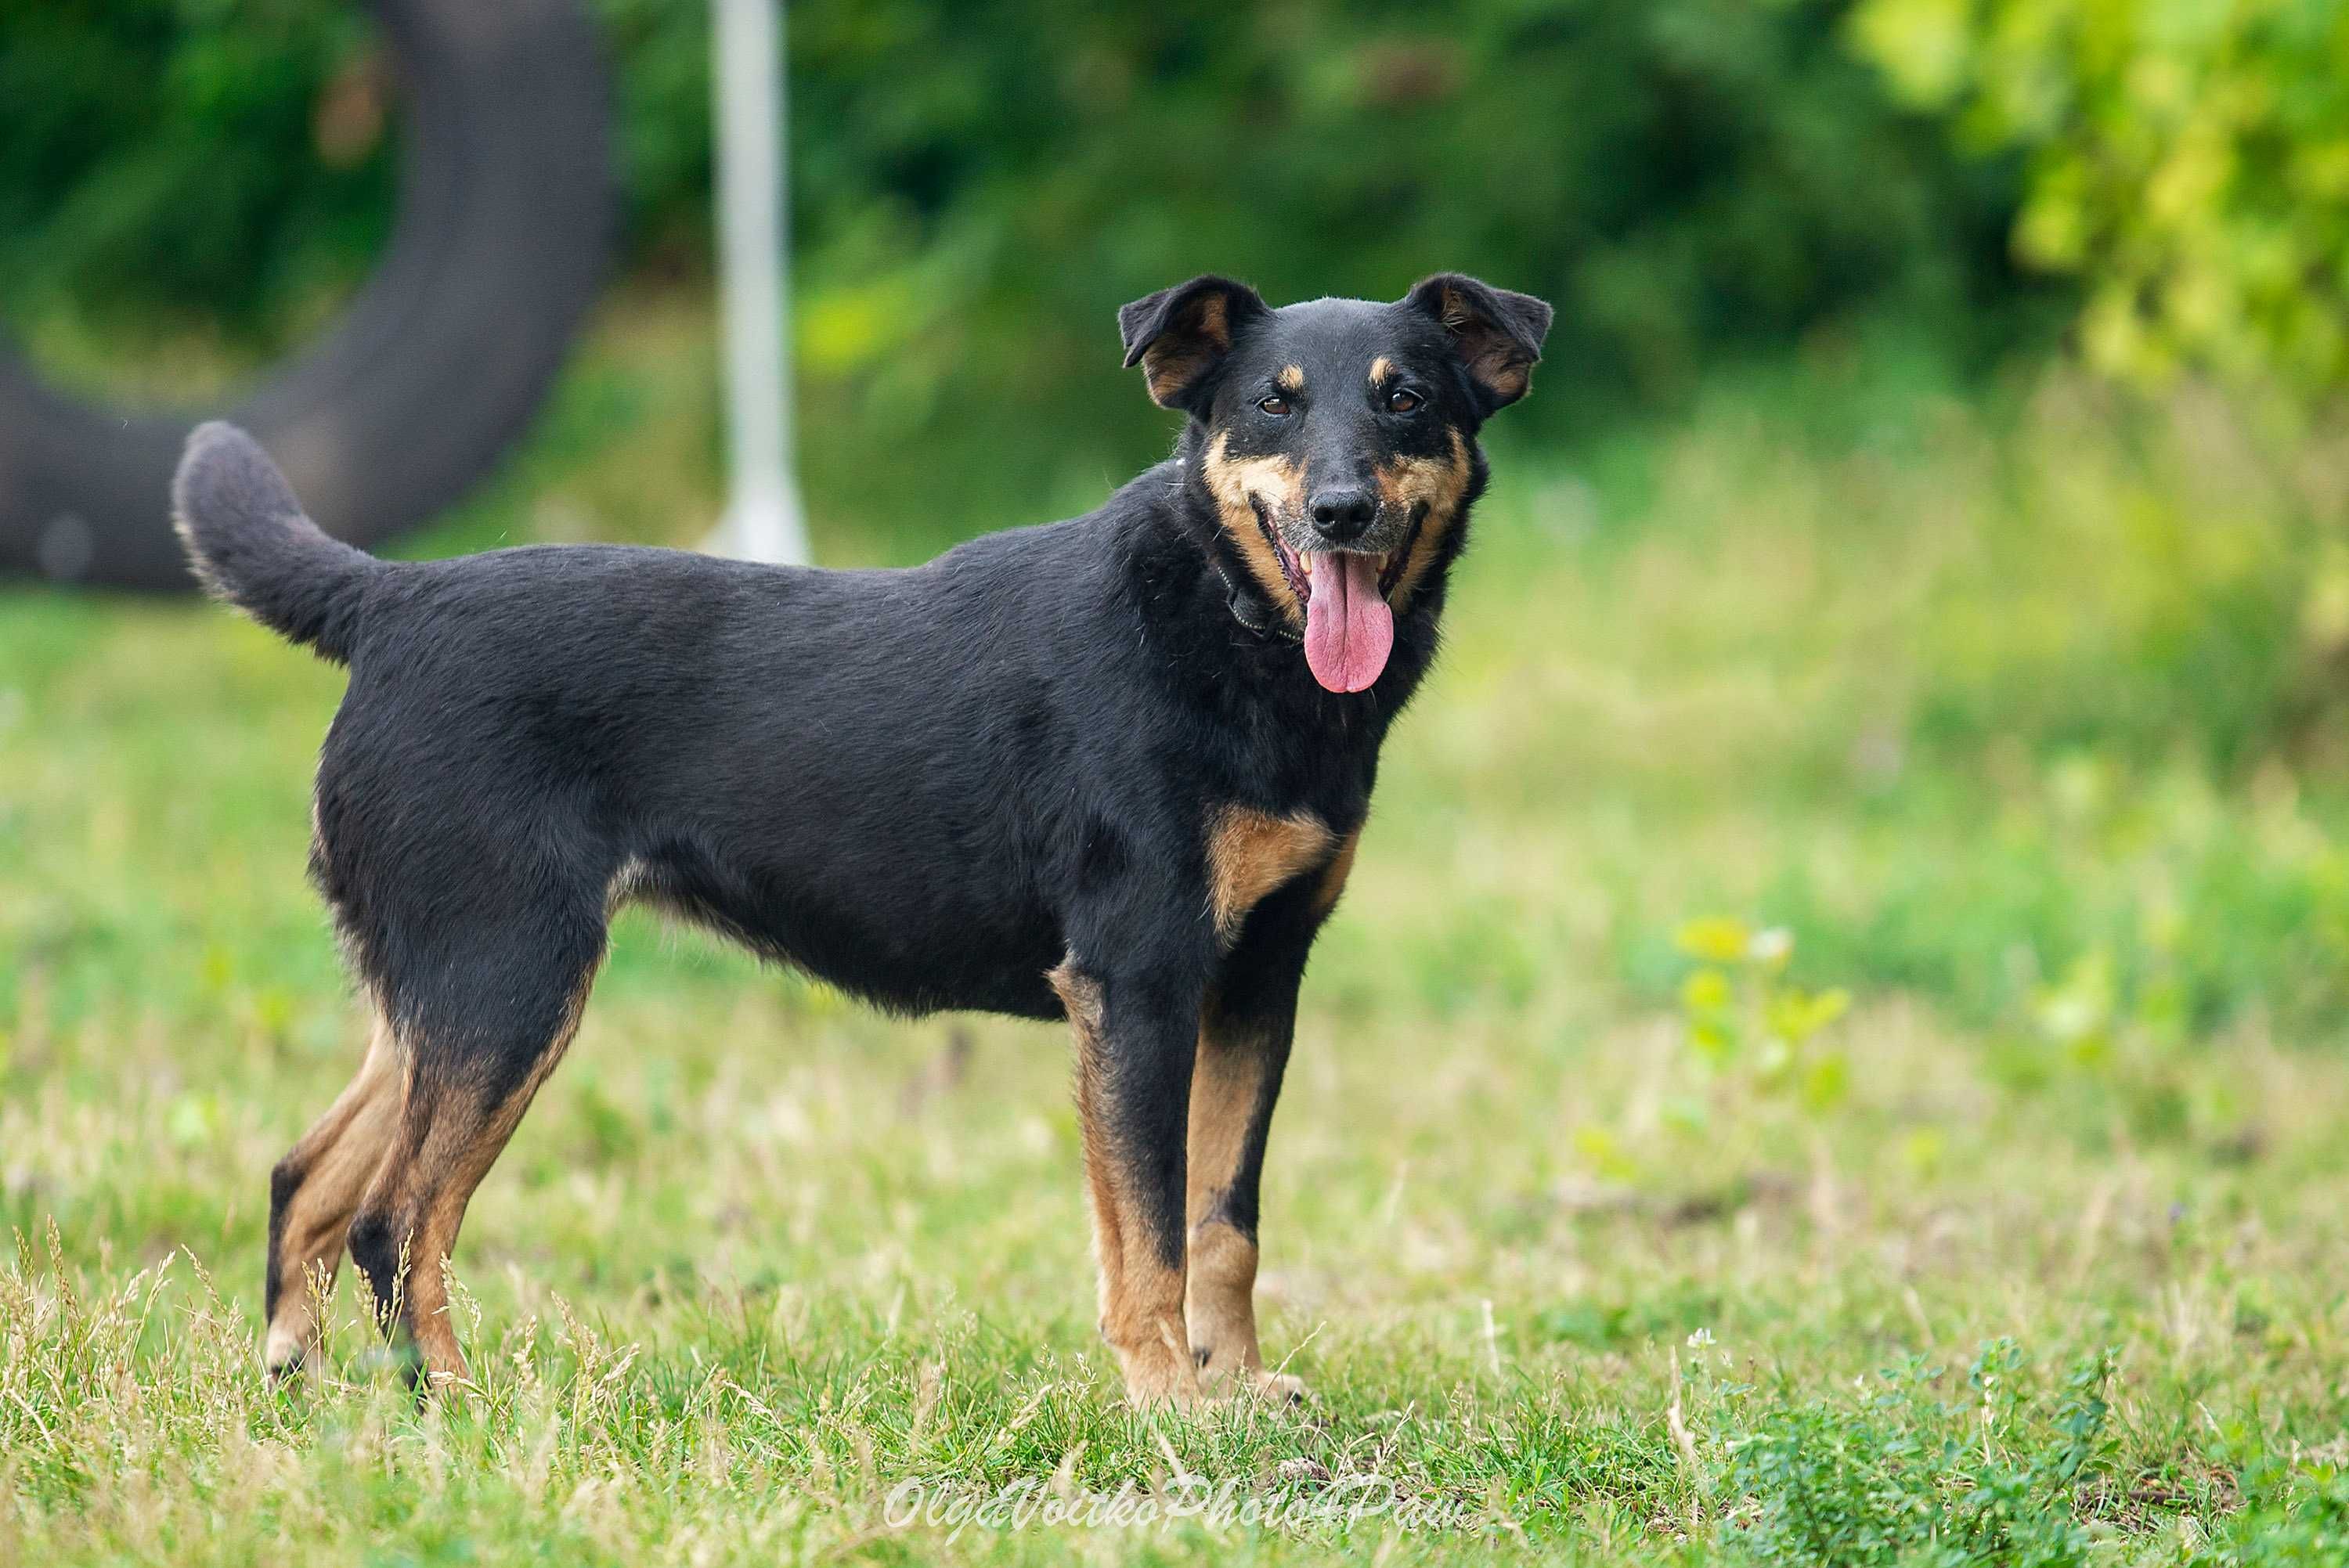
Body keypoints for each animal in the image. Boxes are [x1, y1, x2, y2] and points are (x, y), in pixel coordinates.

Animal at [179, 272, 1541, 1408]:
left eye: (1408, 399)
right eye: (1272, 404)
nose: (1341, 512)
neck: (1223, 619)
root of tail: (387, 599)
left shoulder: (1257, 980)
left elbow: (1224, 1219)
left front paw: (1241, 1388)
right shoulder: (1137, 982)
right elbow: (1150, 1230)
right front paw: (1173, 1403)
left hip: (444, 994)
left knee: (308, 1175)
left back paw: (303, 1384)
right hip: (510, 984)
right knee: (396, 1215)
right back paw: (456, 1401)